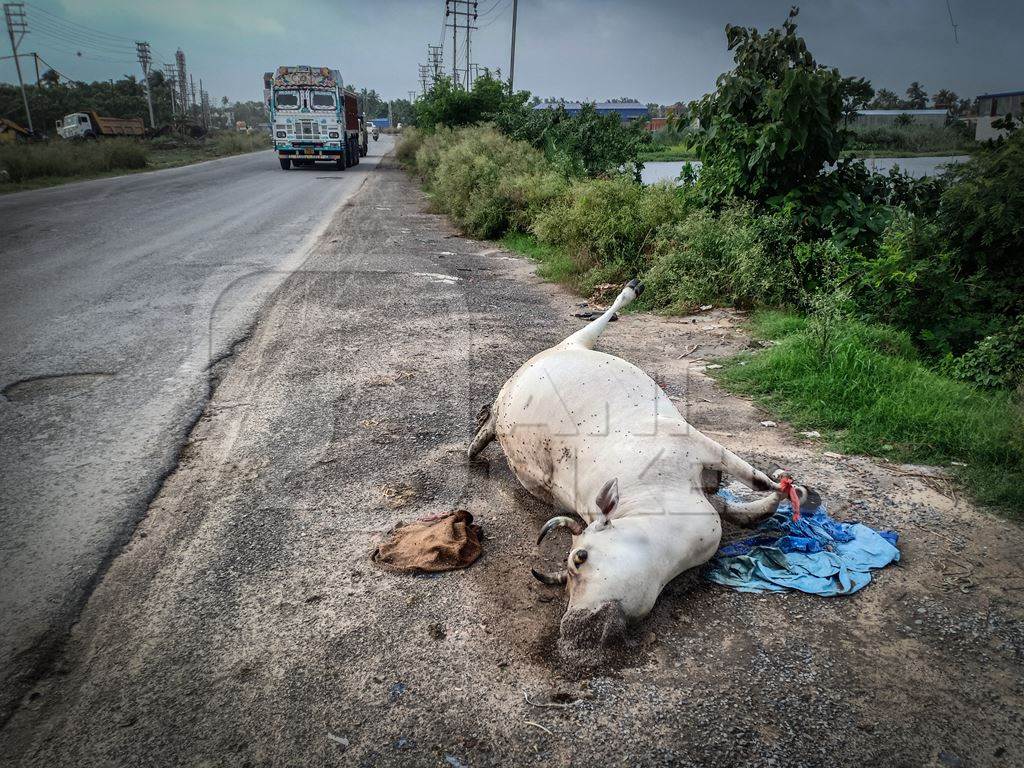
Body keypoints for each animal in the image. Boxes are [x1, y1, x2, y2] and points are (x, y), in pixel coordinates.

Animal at [468, 280, 811, 647]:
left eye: (580, 558)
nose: (574, 627)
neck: (650, 495)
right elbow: (745, 509)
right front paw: (778, 497)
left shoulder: (701, 446)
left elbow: (756, 482)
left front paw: (787, 489)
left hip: (576, 344)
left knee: (597, 322)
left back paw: (631, 290)